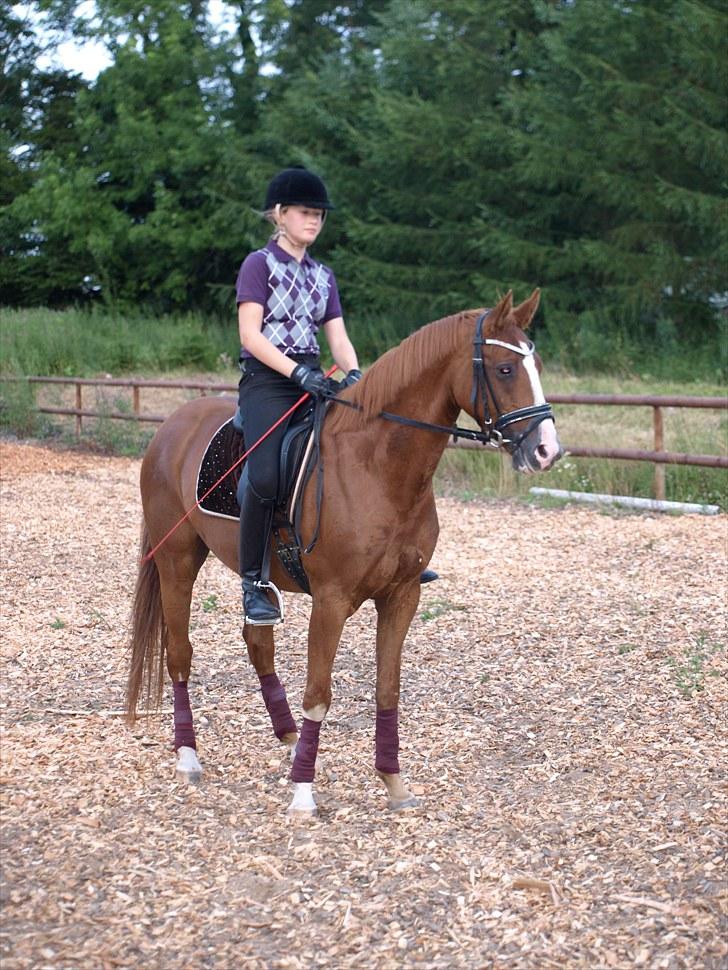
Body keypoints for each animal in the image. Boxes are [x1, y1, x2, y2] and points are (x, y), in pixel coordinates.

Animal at [126, 289, 562, 815]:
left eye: (537, 364)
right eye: (504, 369)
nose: (547, 451)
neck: (378, 466)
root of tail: (171, 426)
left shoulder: (402, 596)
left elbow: (387, 687)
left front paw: (394, 782)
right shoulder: (330, 600)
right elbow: (319, 692)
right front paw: (303, 794)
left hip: (250, 578)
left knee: (258, 642)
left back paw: (291, 739)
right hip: (178, 562)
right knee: (180, 653)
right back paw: (189, 757)